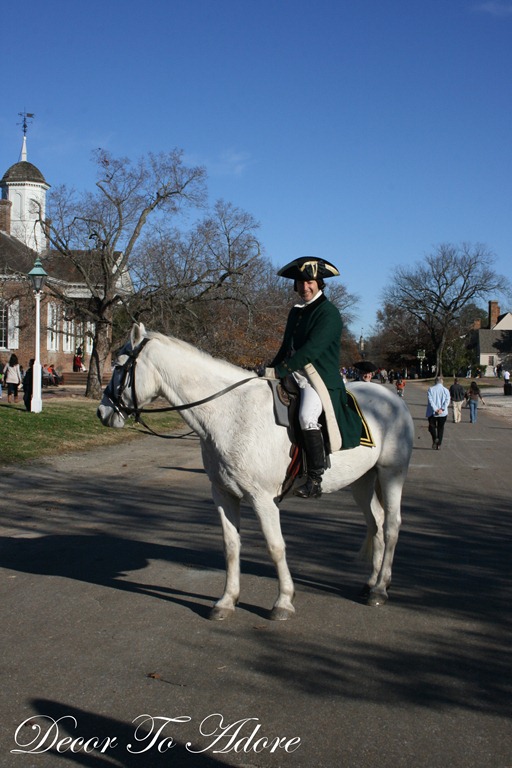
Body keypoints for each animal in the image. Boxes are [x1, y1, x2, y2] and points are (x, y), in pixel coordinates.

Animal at [98, 322, 414, 616]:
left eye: (118, 366)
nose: (102, 412)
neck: (231, 413)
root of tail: (392, 399)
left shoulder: (263, 498)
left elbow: (275, 547)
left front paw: (283, 601)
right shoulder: (223, 495)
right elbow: (231, 546)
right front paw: (227, 600)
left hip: (392, 473)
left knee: (391, 526)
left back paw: (380, 589)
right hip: (362, 481)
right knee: (375, 522)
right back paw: (371, 582)